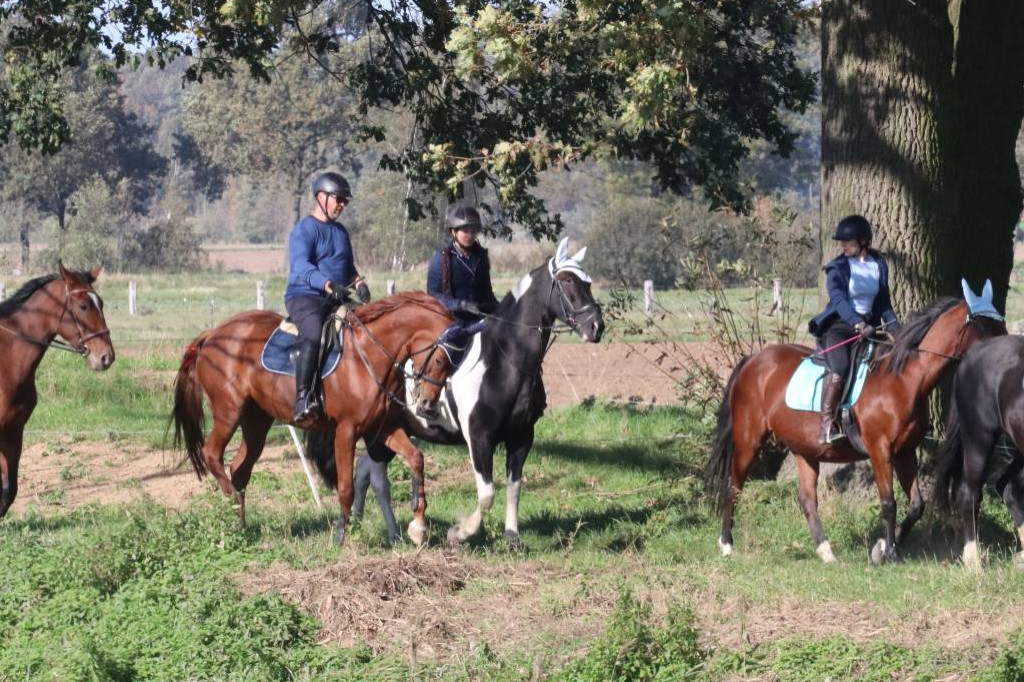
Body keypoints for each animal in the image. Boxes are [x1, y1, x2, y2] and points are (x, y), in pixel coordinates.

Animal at [0, 264, 114, 516]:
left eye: (101, 303)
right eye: (83, 306)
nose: (106, 357)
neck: (7, 360)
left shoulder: (14, 430)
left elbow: (8, 492)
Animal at [169, 288, 454, 544]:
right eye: (440, 360)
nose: (428, 405)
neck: (368, 355)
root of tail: (212, 334)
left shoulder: (382, 428)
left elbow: (416, 458)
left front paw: (418, 525)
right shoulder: (346, 430)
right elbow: (346, 487)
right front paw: (342, 537)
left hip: (256, 421)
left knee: (239, 469)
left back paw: (240, 527)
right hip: (228, 411)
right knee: (211, 454)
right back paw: (230, 506)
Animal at [307, 238, 602, 548]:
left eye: (588, 282)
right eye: (567, 281)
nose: (597, 326)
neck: (506, 359)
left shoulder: (522, 436)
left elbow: (514, 487)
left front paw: (512, 537)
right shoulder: (479, 436)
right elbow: (487, 494)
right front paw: (460, 532)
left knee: (366, 470)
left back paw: (377, 528)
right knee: (374, 474)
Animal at [708, 280, 1003, 561]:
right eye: (984, 326)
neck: (903, 379)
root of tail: (752, 361)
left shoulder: (905, 452)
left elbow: (916, 505)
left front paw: (883, 546)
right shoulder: (879, 450)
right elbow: (889, 502)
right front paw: (890, 553)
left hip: (805, 449)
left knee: (807, 500)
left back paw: (826, 552)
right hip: (749, 440)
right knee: (733, 486)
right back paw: (726, 544)